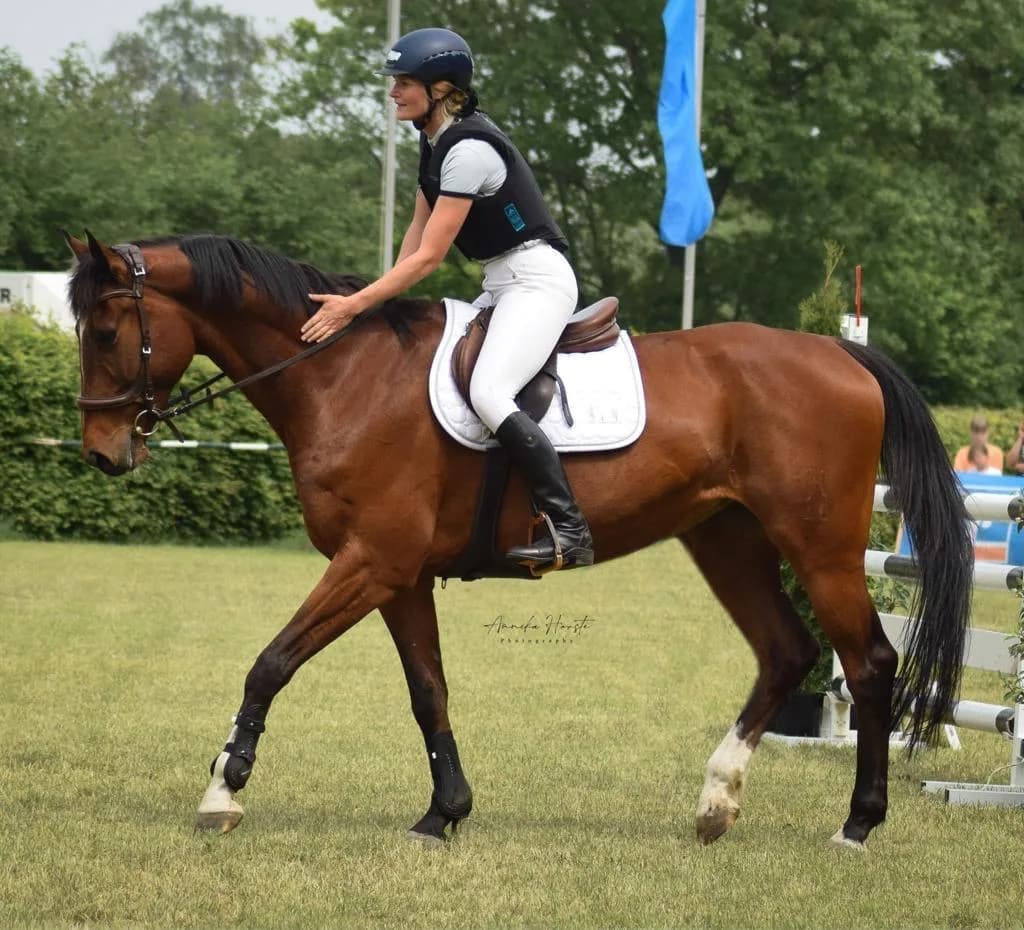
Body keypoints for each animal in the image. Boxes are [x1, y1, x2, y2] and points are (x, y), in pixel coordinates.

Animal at [66, 230, 973, 851]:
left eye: (104, 334)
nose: (102, 454)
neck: (340, 376)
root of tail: (842, 354)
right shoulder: (397, 577)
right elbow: (427, 691)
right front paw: (444, 814)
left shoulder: (370, 563)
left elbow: (271, 663)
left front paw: (223, 792)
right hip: (728, 539)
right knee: (786, 651)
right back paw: (717, 802)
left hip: (819, 548)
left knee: (869, 662)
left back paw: (857, 825)